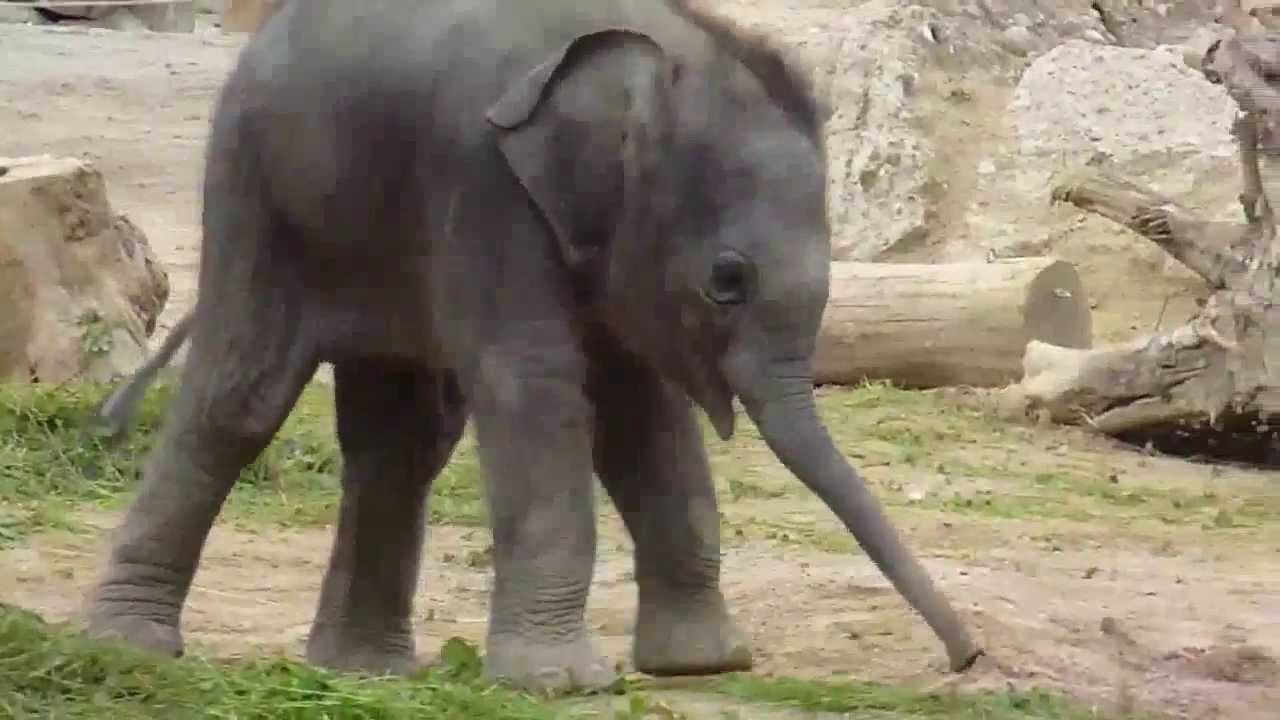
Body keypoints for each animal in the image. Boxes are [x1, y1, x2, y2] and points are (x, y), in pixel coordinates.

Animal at [83, 0, 982, 691]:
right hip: (258, 192)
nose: (968, 657)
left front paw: (705, 665)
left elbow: (641, 413)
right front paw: (564, 683)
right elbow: (538, 388)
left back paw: (364, 670)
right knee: (240, 399)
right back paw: (132, 647)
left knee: (402, 440)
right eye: (727, 280)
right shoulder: (482, 182)